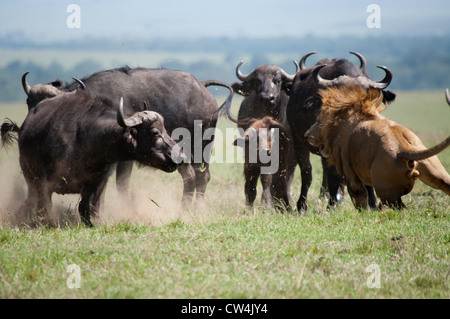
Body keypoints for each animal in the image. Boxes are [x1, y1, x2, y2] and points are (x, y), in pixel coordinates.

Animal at [1, 87, 185, 228]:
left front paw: (90, 224)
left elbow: (85, 207)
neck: (86, 138)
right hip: (29, 175)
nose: (180, 156)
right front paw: (45, 224)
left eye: (166, 130)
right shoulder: (45, 182)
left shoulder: (96, 182)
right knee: (31, 200)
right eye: (155, 132)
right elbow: (45, 206)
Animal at [21, 68, 234, 206]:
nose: (30, 126)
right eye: (29, 102)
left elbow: (119, 185)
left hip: (201, 147)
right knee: (191, 176)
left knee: (201, 176)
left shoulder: (123, 158)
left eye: (54, 101)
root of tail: (203, 86)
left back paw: (195, 209)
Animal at [286, 52, 396, 212]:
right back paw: (303, 205)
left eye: (365, 93)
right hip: (299, 142)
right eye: (340, 93)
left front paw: (373, 204)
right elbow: (332, 176)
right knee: (307, 173)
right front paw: (331, 205)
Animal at [306, 85, 450, 210]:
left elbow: (361, 202)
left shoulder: (351, 178)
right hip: (435, 170)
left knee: (399, 208)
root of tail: (403, 148)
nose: (306, 135)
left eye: (318, 121)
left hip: (386, 190)